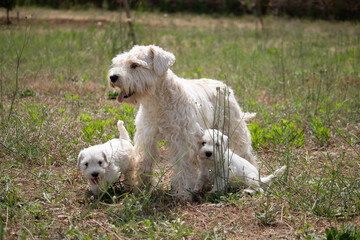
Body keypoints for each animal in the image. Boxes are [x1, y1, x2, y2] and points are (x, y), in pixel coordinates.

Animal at [108, 45, 258, 201]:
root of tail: (223, 85)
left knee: (246, 152)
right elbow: (144, 163)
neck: (158, 101)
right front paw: (142, 188)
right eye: (118, 62)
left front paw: (183, 194)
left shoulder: (182, 141)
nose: (113, 77)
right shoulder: (147, 138)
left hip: (234, 128)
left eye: (134, 65)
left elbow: (183, 168)